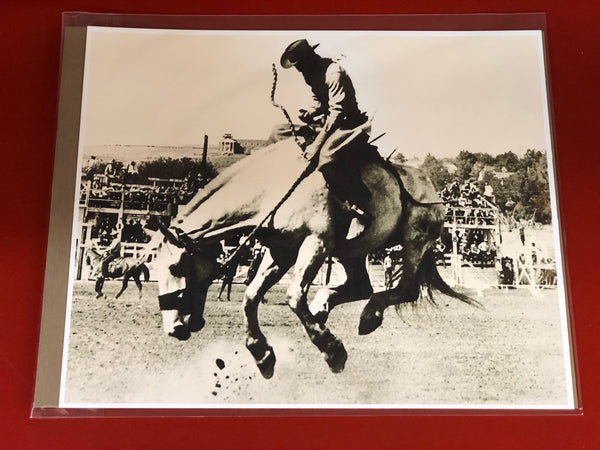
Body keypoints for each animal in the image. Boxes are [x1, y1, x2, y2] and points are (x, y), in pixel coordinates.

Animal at [152, 139, 480, 378]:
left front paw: (332, 351)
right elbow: (251, 296)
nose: (173, 329)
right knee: (362, 287)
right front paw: (262, 354)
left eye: (175, 266)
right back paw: (323, 305)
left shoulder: (316, 243)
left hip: (414, 242)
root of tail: (428, 183)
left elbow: (294, 296)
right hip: (353, 250)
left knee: (404, 289)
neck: (272, 189)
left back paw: (367, 316)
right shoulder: (281, 252)